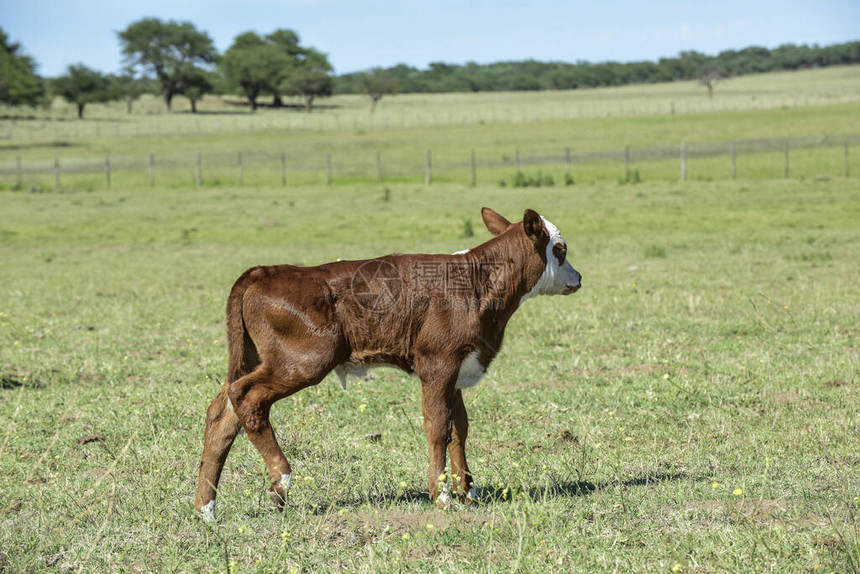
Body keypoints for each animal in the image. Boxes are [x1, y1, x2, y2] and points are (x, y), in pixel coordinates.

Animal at [198, 208, 580, 520]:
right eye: (559, 250)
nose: (578, 278)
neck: (478, 282)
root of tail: (264, 271)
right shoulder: (437, 363)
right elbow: (438, 426)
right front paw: (442, 497)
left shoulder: (458, 367)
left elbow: (460, 428)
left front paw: (468, 493)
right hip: (304, 361)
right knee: (245, 396)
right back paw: (280, 481)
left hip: (255, 358)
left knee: (223, 411)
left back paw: (207, 509)